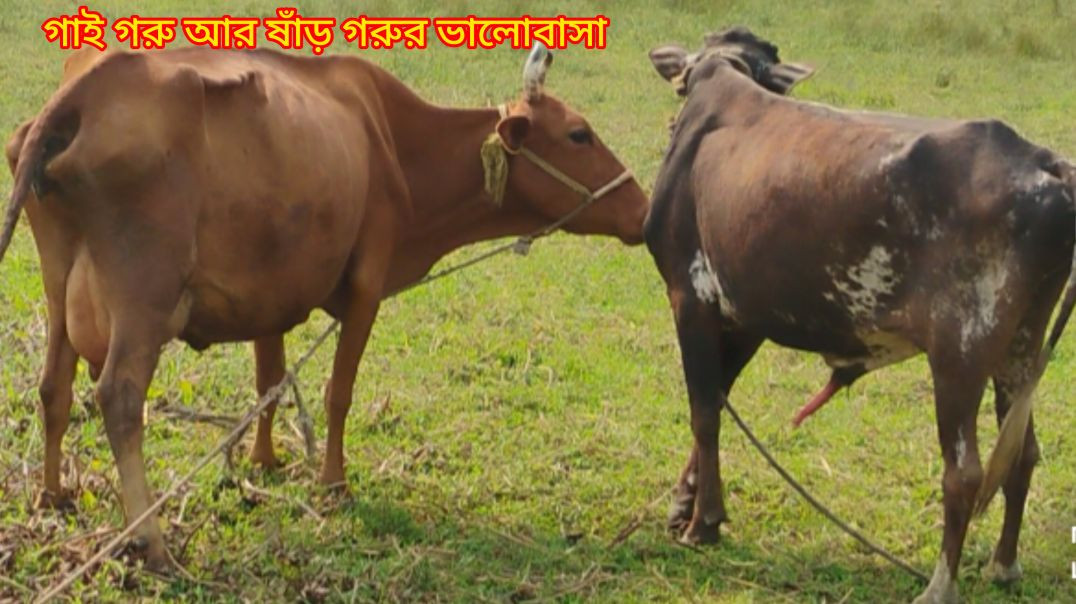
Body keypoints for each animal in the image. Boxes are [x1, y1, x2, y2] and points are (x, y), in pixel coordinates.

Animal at [0, 44, 648, 570]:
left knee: (54, 387)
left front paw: (263, 460)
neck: (392, 143)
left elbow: (269, 380)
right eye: (580, 134)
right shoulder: (366, 286)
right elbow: (340, 393)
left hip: (59, 284)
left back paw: (52, 495)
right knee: (118, 396)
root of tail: (82, 90)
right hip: (144, 296)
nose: (644, 211)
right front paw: (334, 483)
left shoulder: (268, 290)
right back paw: (151, 541)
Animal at [645, 27, 1076, 604]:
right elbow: (715, 398)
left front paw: (702, 523)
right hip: (1020, 348)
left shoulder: (689, 298)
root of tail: (1047, 164)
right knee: (1023, 454)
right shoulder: (744, 317)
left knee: (964, 473)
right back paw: (1003, 565)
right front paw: (684, 505)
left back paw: (939, 585)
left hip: (961, 354)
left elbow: (705, 414)